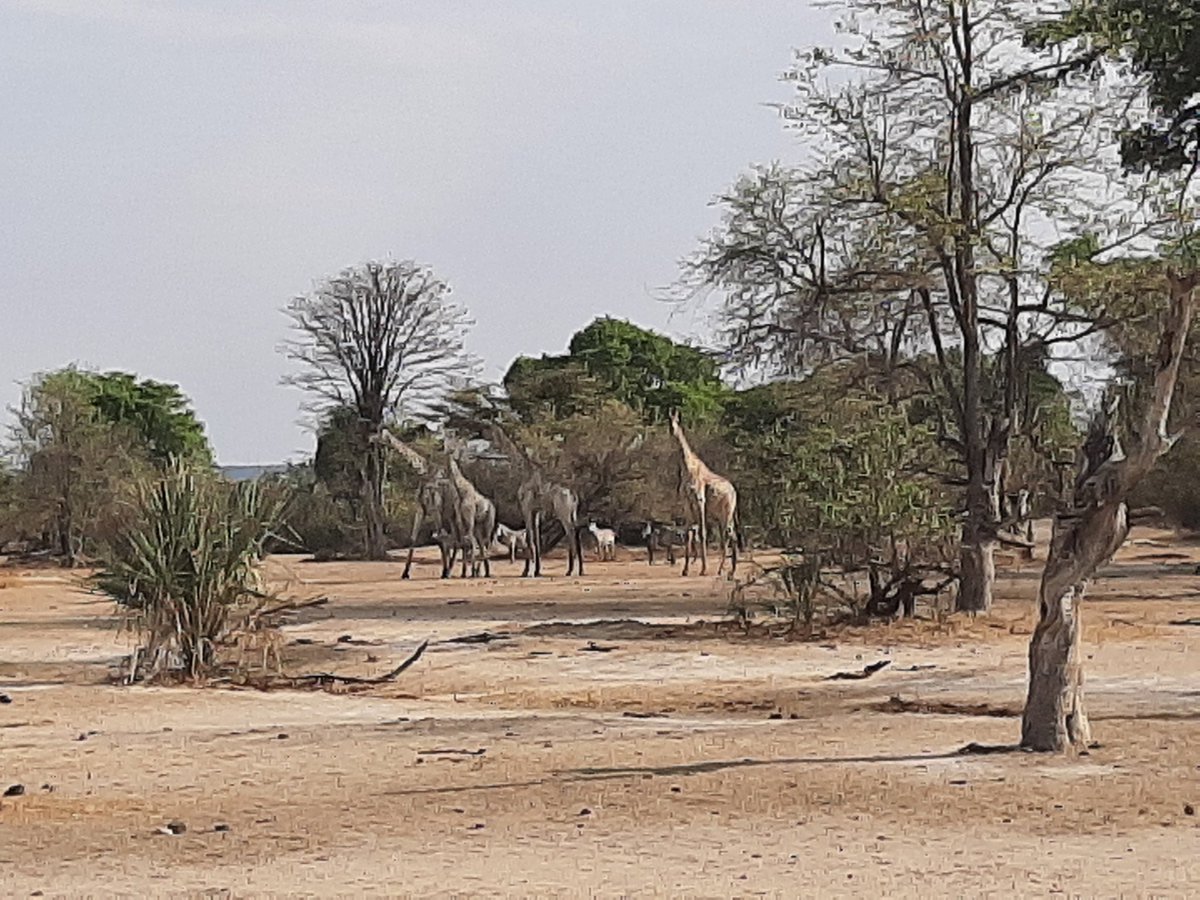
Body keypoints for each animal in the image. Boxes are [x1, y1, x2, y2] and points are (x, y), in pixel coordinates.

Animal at [488, 422, 584, 577]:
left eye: (493, 434)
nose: (491, 451)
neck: (524, 472)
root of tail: (573, 493)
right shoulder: (536, 512)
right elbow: (536, 539)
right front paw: (537, 570)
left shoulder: (526, 509)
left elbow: (529, 538)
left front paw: (526, 571)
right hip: (573, 513)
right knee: (577, 534)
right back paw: (580, 570)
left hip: (563, 514)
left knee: (571, 533)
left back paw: (570, 570)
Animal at [668, 410, 740, 576]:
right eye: (668, 421)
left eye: (677, 421)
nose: (672, 430)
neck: (688, 467)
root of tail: (734, 491)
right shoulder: (687, 503)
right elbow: (688, 534)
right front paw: (685, 570)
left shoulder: (700, 500)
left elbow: (702, 533)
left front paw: (704, 569)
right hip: (721, 515)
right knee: (730, 534)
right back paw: (730, 571)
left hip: (726, 512)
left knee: (727, 534)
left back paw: (722, 570)